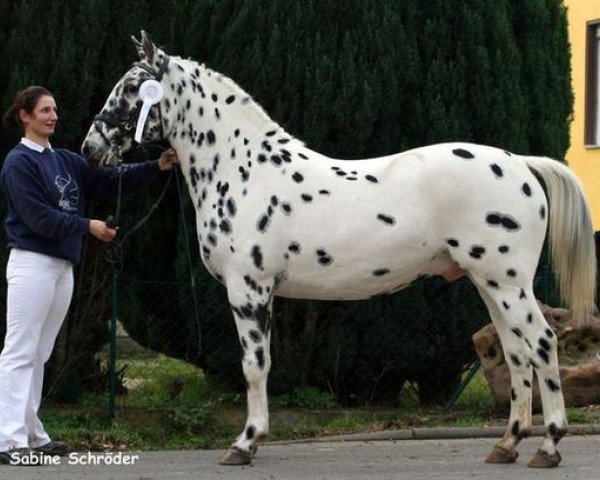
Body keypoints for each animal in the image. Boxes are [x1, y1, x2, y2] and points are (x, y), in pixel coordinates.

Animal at [83, 32, 596, 468]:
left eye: (133, 88)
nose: (90, 149)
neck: (244, 168)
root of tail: (518, 163)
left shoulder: (248, 288)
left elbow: (255, 366)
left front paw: (245, 444)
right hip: (488, 283)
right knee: (516, 352)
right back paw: (507, 444)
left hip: (506, 283)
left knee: (542, 343)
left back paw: (548, 446)